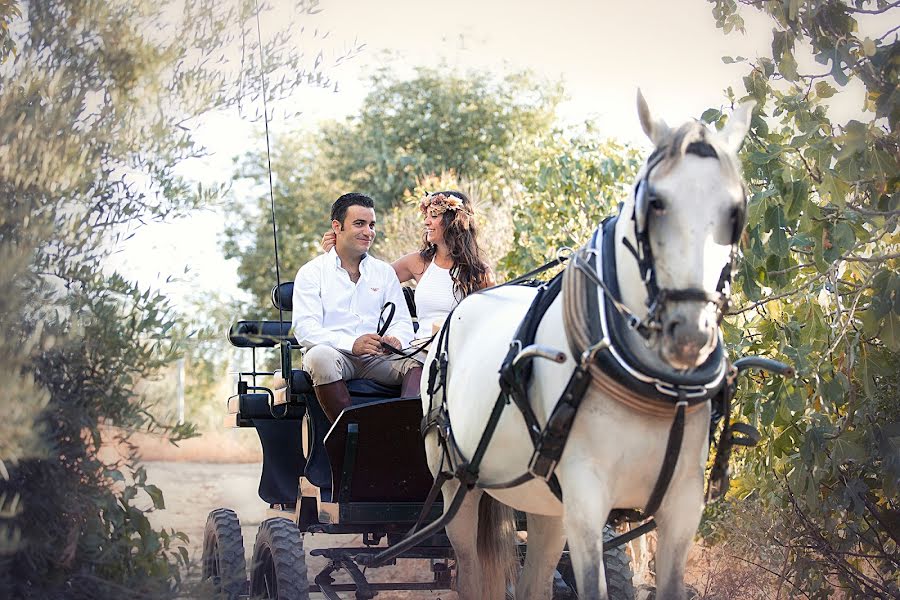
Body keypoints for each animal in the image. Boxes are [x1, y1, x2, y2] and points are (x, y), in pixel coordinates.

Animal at [420, 90, 752, 600]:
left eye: (736, 210)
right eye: (655, 202)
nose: (689, 333)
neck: (651, 383)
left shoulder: (681, 505)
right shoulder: (587, 498)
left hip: (542, 502)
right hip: (458, 485)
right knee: (470, 568)